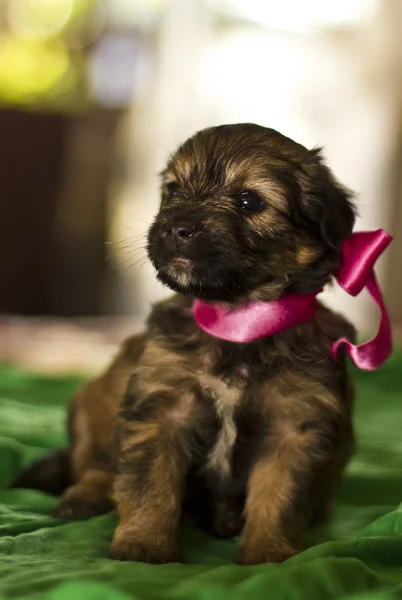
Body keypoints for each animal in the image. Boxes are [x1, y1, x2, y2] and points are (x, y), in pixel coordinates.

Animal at [14, 124, 356, 564]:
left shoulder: (294, 425)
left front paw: (269, 555)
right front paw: (143, 546)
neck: (236, 320)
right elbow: (149, 484)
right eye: (173, 190)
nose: (177, 228)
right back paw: (84, 497)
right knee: (95, 465)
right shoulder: (162, 407)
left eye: (249, 200)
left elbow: (280, 496)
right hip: (98, 401)